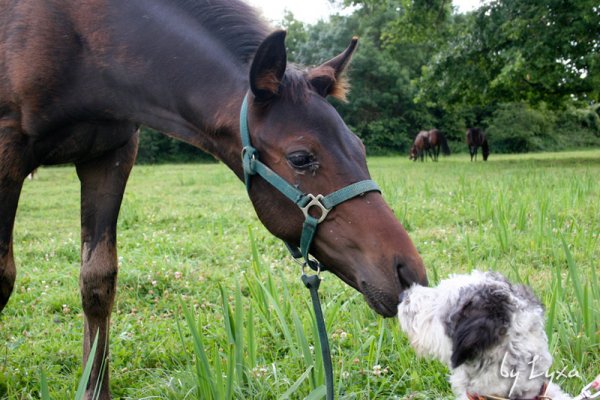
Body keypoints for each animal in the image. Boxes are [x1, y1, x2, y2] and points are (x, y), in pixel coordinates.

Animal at [2, 0, 428, 396]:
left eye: (359, 147)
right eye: (300, 158)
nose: (408, 275)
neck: (80, 39)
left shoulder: (111, 155)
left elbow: (97, 281)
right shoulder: (8, 152)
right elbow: (4, 279)